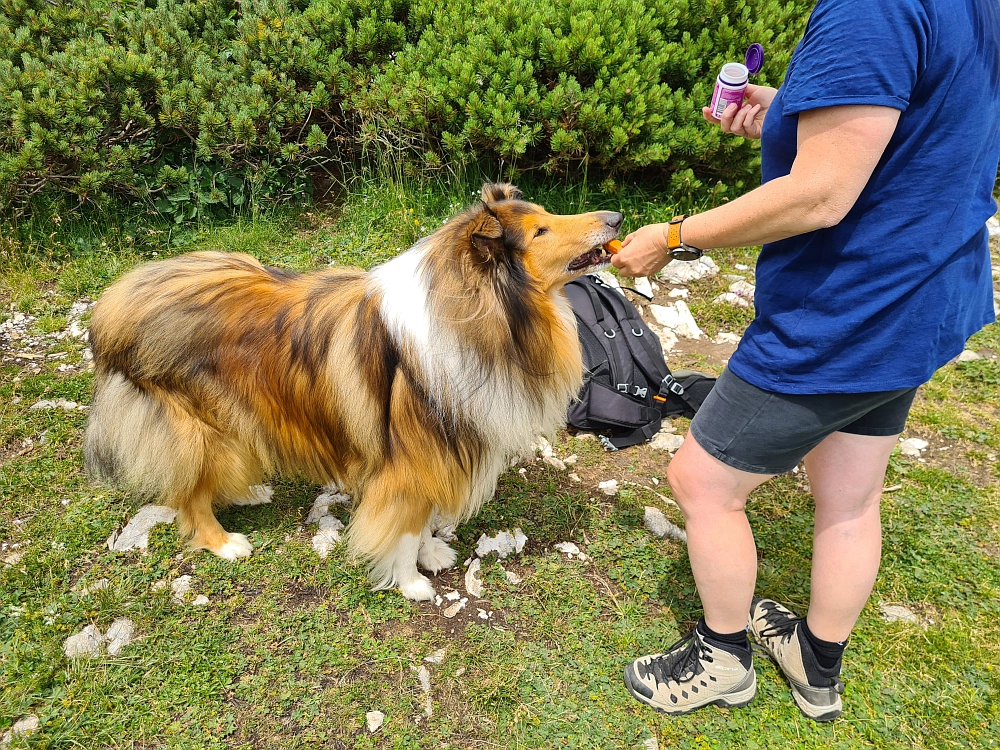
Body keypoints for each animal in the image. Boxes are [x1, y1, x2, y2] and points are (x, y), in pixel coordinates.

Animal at [86, 182, 620, 600]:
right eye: (540, 232)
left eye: (547, 216)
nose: (615, 218)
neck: (482, 314)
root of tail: (115, 307)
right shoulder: (411, 458)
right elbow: (404, 526)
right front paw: (411, 582)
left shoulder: (437, 451)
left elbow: (423, 519)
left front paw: (432, 553)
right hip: (195, 425)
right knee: (190, 495)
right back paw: (225, 541)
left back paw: (249, 491)